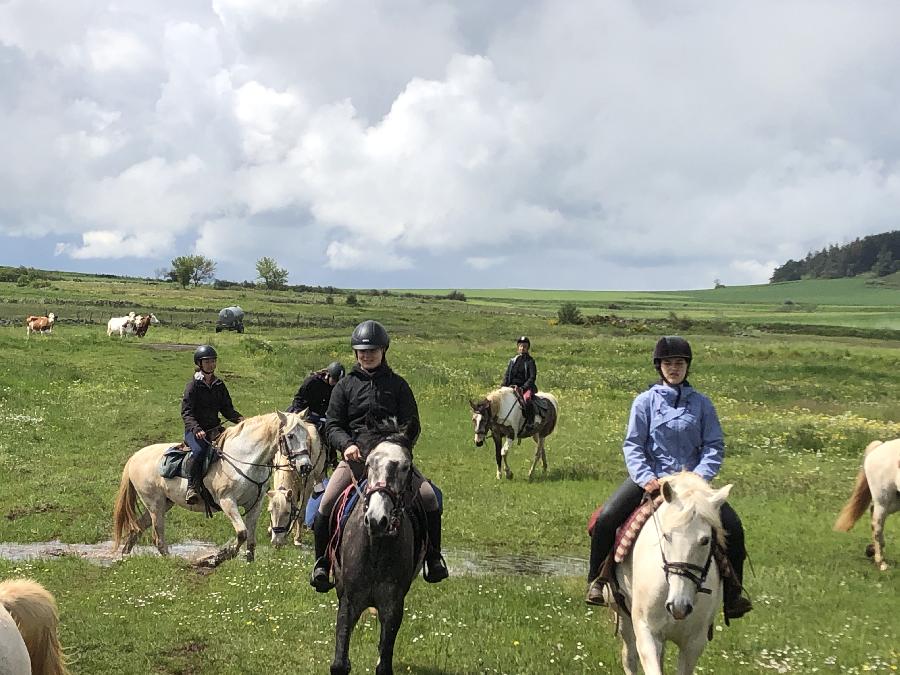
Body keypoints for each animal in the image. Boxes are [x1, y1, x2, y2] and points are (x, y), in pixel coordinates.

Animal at [112, 412, 312, 564]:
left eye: (288, 512)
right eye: (291, 436)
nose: (305, 466)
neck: (245, 459)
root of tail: (134, 457)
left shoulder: (255, 504)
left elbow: (251, 537)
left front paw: (250, 562)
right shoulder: (227, 501)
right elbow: (242, 533)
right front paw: (219, 557)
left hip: (164, 504)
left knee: (137, 528)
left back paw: (124, 556)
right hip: (156, 505)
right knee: (158, 536)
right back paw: (171, 561)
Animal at [268, 412, 328, 548]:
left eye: (286, 512)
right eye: (270, 511)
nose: (276, 542)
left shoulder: (307, 486)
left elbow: (300, 513)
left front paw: (297, 538)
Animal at [330, 426, 426, 672]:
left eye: (405, 466)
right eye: (369, 463)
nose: (376, 519)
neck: (375, 549)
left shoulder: (393, 607)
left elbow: (384, 661)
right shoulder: (349, 602)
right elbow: (340, 662)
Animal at [600, 476, 736, 675]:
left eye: (705, 540)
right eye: (666, 536)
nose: (678, 607)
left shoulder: (693, 643)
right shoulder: (647, 632)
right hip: (623, 615)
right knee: (629, 658)